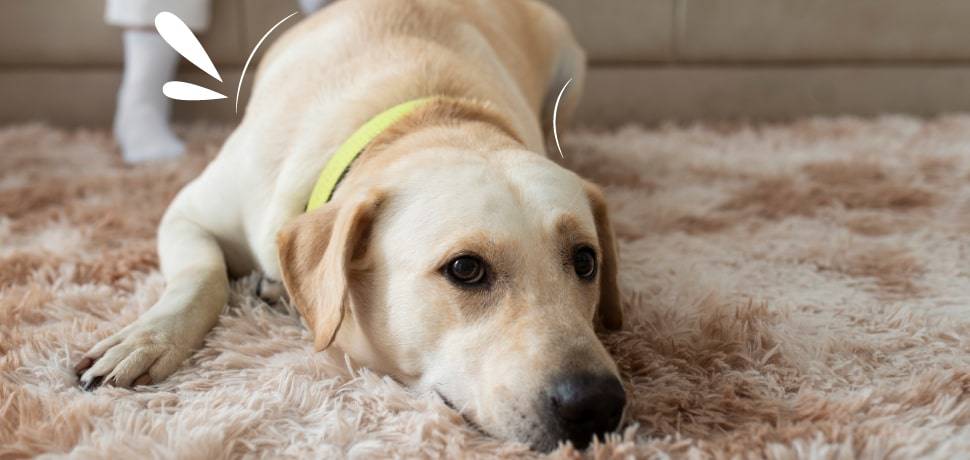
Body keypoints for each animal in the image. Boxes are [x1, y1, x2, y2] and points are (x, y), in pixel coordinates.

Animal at [75, 0, 624, 452]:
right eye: (465, 269)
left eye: (585, 261)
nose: (597, 404)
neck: (430, 117)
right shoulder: (186, 213)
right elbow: (201, 279)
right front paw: (146, 339)